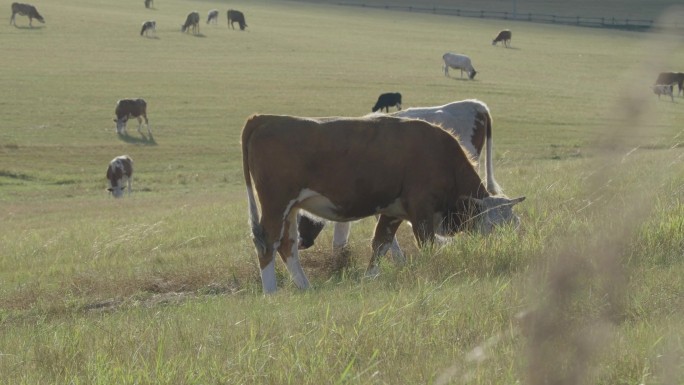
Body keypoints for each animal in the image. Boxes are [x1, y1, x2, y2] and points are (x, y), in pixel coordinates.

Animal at [243, 112, 528, 292]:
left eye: (514, 226)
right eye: (492, 226)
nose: (507, 250)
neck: (441, 155)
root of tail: (263, 118)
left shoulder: (393, 212)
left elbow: (380, 244)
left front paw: (369, 279)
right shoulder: (421, 210)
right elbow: (425, 245)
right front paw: (431, 272)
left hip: (291, 209)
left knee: (287, 247)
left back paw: (305, 288)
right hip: (276, 204)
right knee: (268, 244)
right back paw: (271, 292)